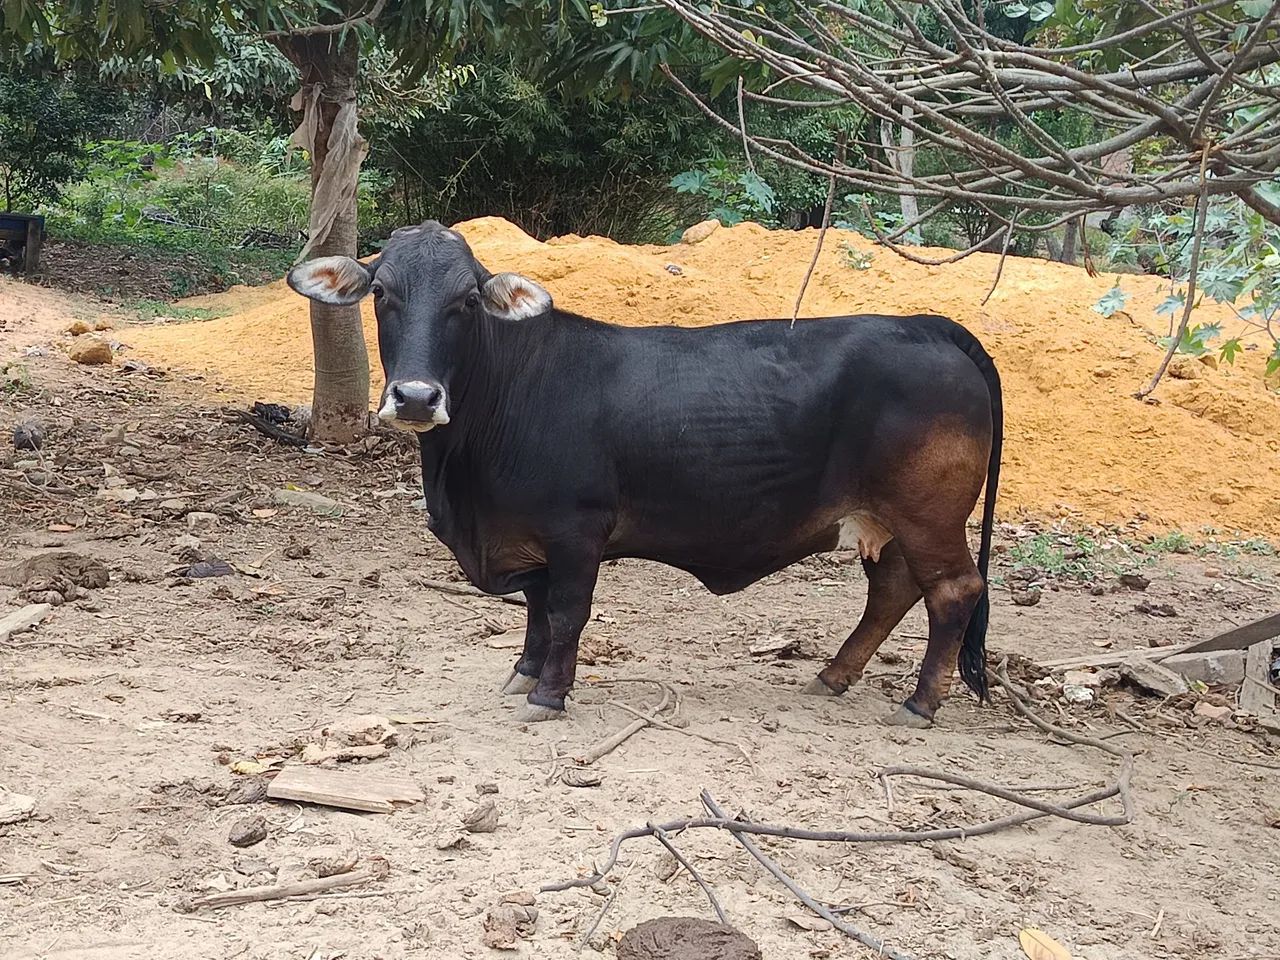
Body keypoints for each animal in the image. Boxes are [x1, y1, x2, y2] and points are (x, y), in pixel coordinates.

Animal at [287, 221, 1003, 728]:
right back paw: (833, 676)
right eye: (383, 293)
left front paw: (549, 694)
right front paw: (525, 672)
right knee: (894, 590)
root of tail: (928, 325)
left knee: (953, 592)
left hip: (929, 514)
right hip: (894, 520)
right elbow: (538, 609)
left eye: (466, 300)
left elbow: (568, 611)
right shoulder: (533, 540)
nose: (414, 397)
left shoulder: (576, 532)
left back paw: (919, 703)